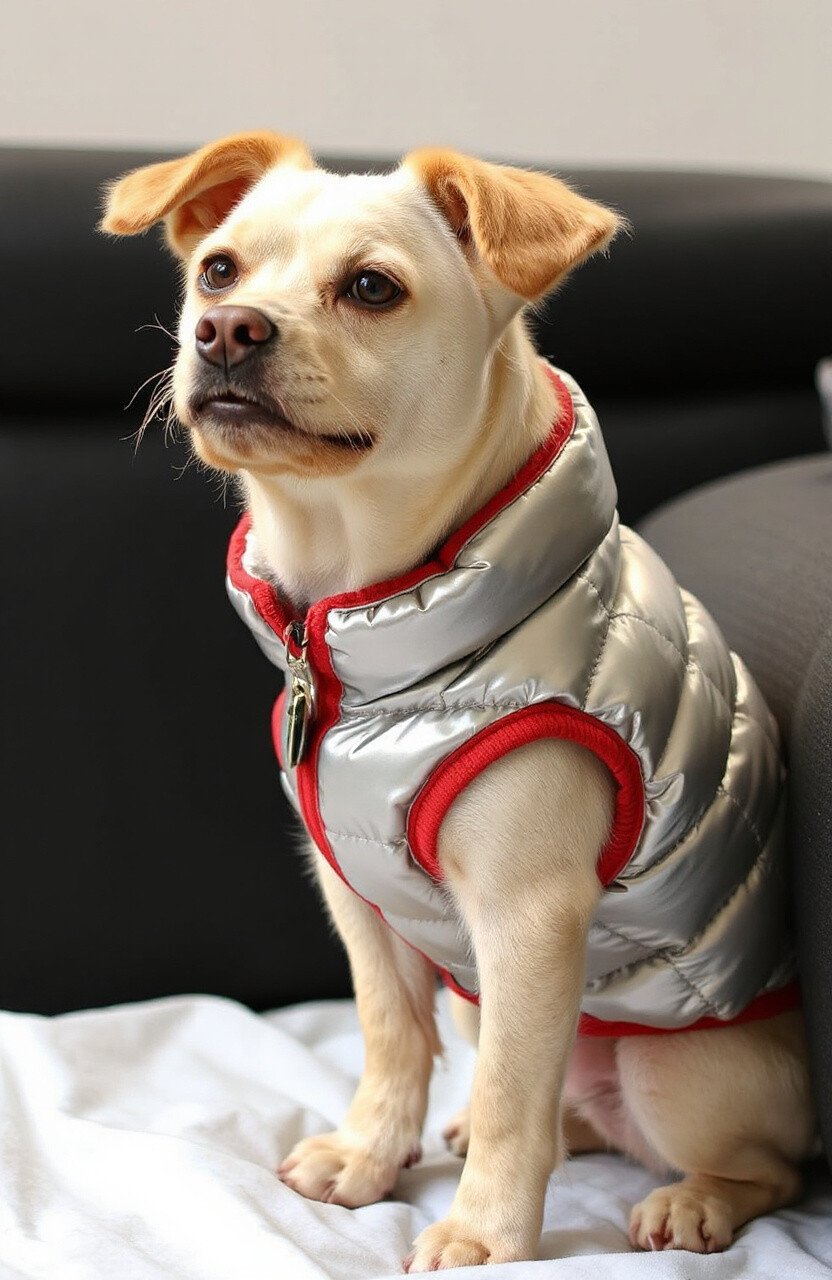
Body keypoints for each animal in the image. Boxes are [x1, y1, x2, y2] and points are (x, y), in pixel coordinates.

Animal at [101, 132, 816, 1270]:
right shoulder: (357, 893)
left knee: (755, 1161)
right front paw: (369, 1154)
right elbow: (393, 1033)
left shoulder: (528, 920)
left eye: (370, 288)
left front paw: (484, 1233)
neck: (353, 603)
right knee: (544, 1101)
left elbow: (519, 1085)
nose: (225, 328)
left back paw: (693, 1199)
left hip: (676, 1070)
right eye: (216, 270)